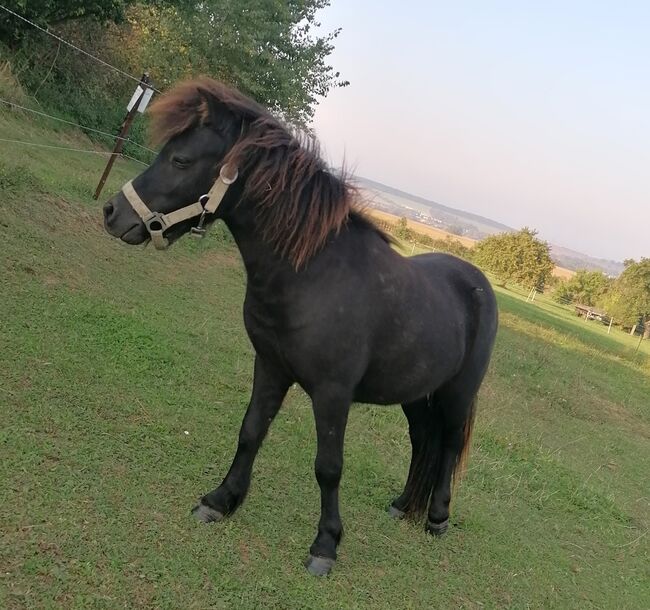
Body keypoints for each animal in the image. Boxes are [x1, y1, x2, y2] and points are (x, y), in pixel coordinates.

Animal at [102, 79, 496, 576]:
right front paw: (220, 501)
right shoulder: (270, 366)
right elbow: (251, 431)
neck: (312, 274)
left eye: (181, 160)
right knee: (423, 440)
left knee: (448, 445)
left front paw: (325, 545)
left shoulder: (332, 394)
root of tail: (478, 282)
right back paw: (405, 506)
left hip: (457, 392)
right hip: (417, 394)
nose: (112, 212)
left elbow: (328, 466)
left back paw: (437, 518)